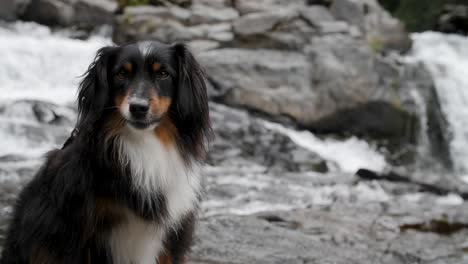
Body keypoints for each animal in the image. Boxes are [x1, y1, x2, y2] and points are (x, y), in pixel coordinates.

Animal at [0, 40, 212, 264]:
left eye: (163, 73)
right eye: (121, 74)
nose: (138, 107)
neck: (143, 144)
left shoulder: (174, 236)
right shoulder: (77, 233)